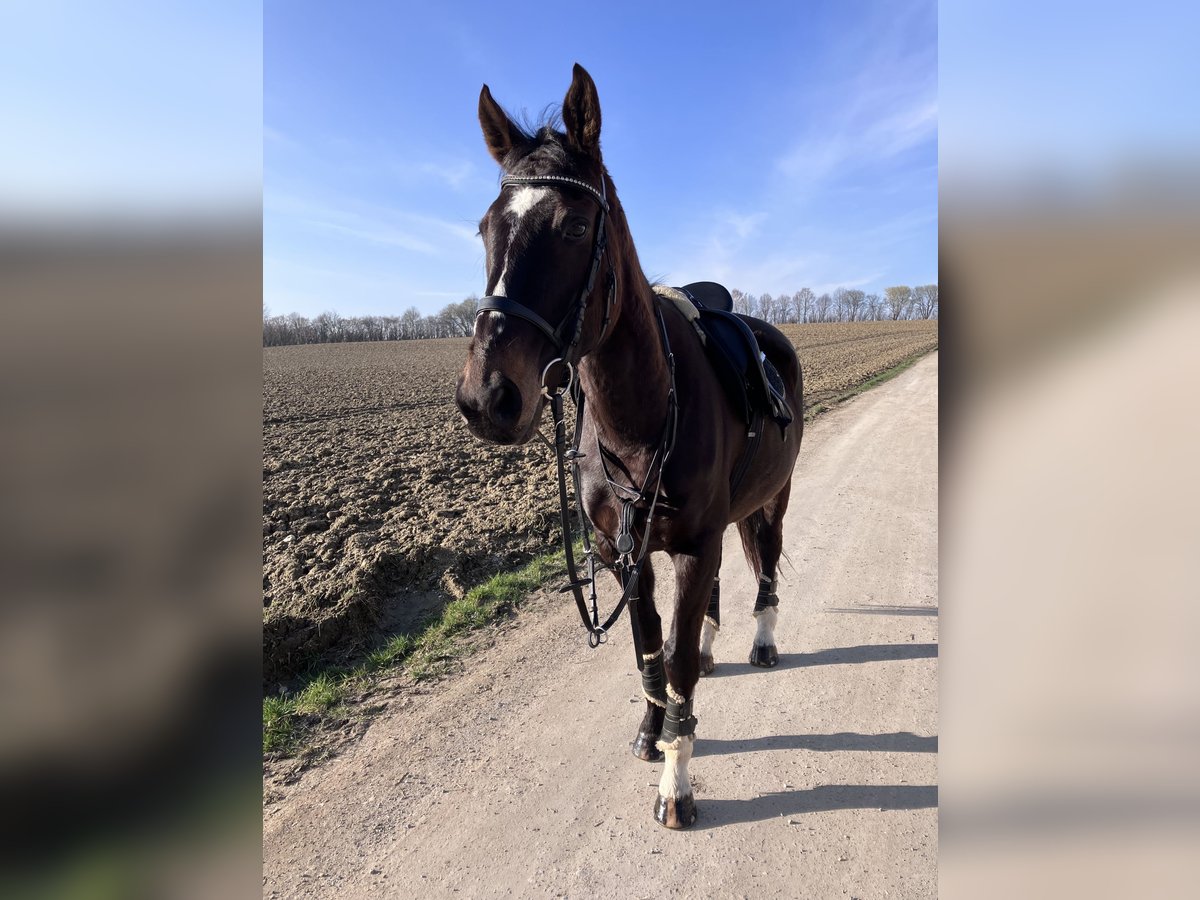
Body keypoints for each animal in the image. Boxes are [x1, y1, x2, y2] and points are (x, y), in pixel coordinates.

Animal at [455, 64, 802, 829]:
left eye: (576, 225)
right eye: (486, 227)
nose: (486, 398)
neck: (638, 415)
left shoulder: (694, 544)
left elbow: (671, 660)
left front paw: (677, 780)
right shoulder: (622, 552)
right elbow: (648, 649)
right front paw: (653, 732)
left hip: (774, 499)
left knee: (765, 564)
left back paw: (761, 642)